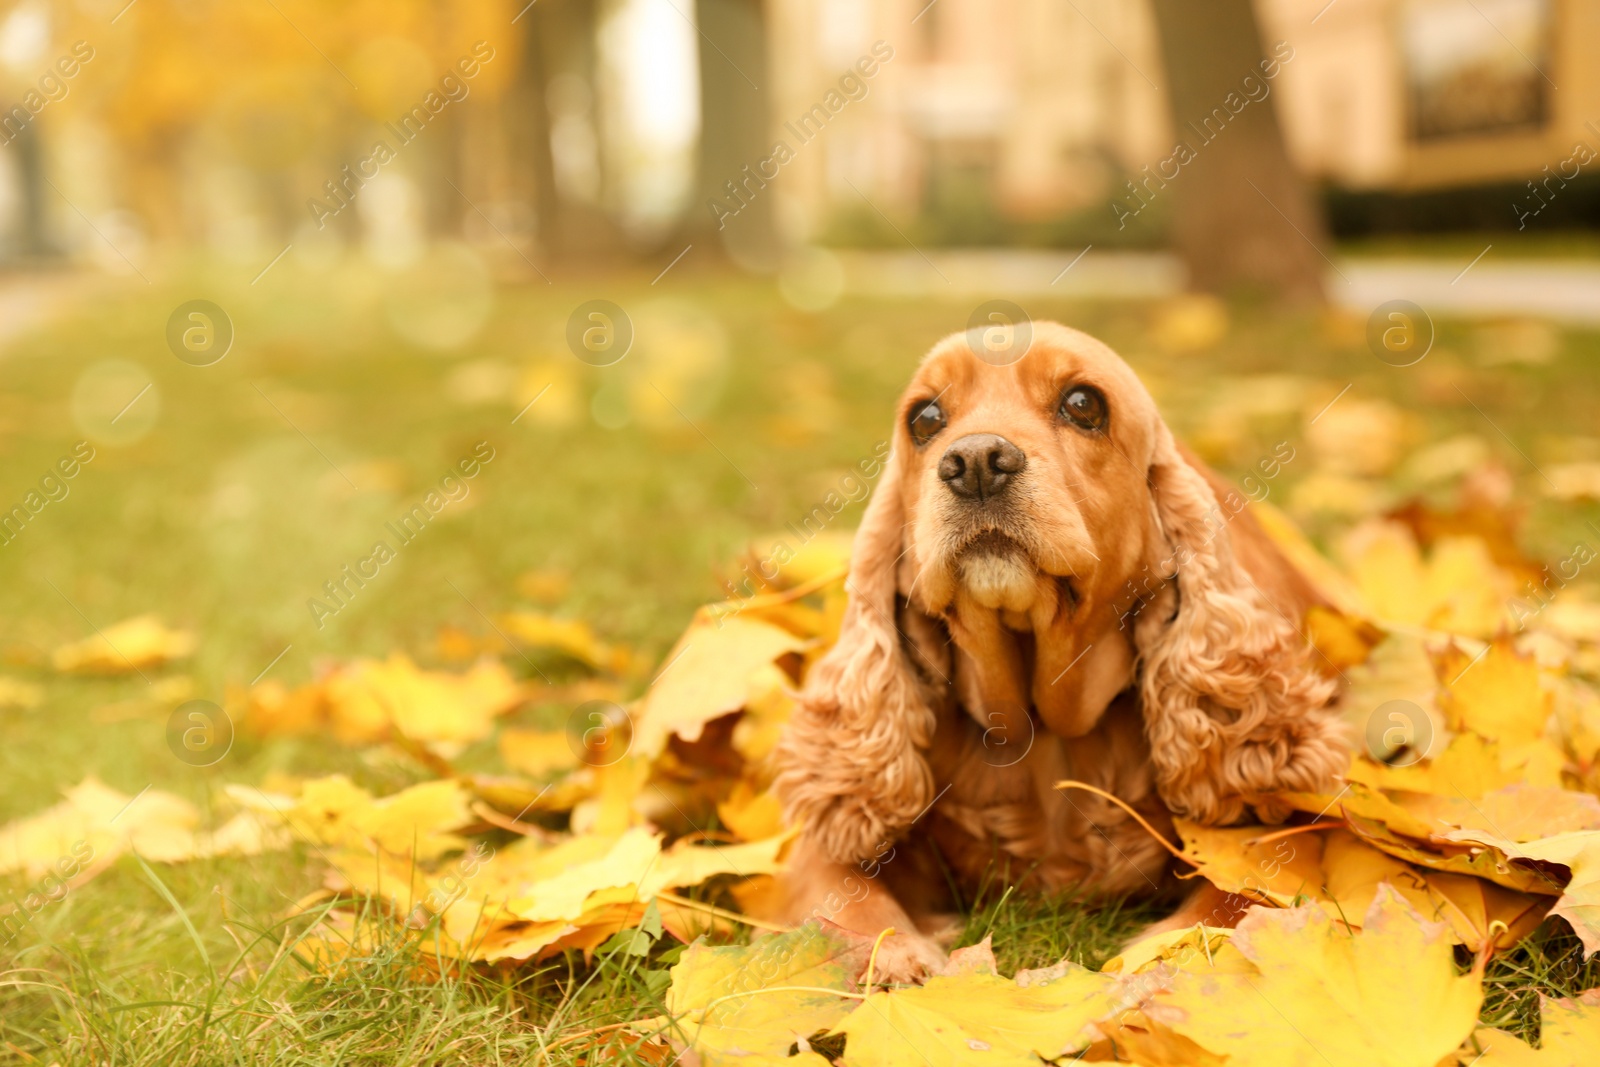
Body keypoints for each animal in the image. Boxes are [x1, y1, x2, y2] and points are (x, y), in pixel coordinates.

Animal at [768, 319, 1344, 985]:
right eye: (925, 418)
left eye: (1083, 404)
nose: (975, 462)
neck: (1047, 732)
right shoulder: (828, 839)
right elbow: (836, 892)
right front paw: (896, 958)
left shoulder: (1293, 827)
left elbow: (1245, 891)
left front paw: (1166, 955)